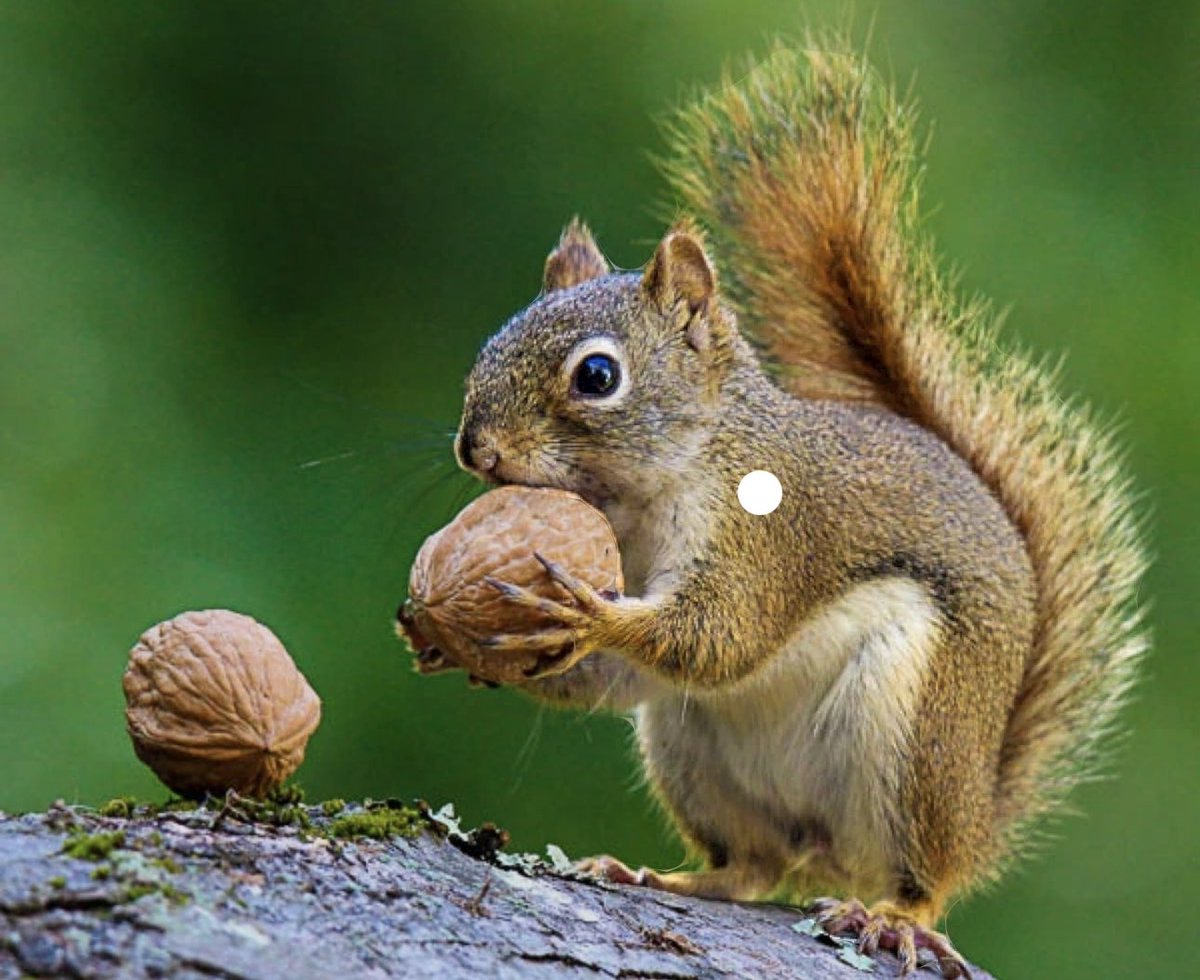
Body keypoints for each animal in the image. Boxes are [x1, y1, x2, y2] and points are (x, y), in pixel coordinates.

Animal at [445, 40, 1148, 977]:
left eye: (596, 376)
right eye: (492, 341)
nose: (475, 450)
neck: (648, 494)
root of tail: (976, 808)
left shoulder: (769, 539)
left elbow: (720, 636)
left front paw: (589, 615)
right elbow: (622, 676)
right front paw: (464, 638)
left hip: (914, 741)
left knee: (918, 878)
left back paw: (894, 918)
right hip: (688, 751)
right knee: (752, 868)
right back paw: (656, 876)